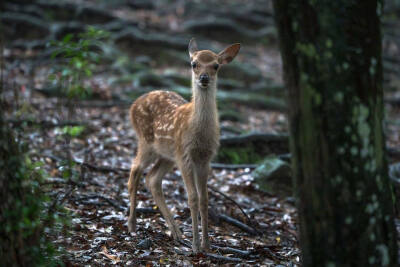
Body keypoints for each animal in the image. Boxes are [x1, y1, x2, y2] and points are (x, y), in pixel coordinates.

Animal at [128, 38, 239, 253]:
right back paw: (132, 224)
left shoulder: (205, 158)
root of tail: (133, 105)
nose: (204, 77)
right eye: (194, 64)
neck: (198, 130)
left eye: (216, 65)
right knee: (135, 170)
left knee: (152, 178)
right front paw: (196, 246)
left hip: (168, 155)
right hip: (147, 142)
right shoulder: (185, 155)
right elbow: (192, 198)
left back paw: (176, 232)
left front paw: (207, 245)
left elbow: (204, 199)